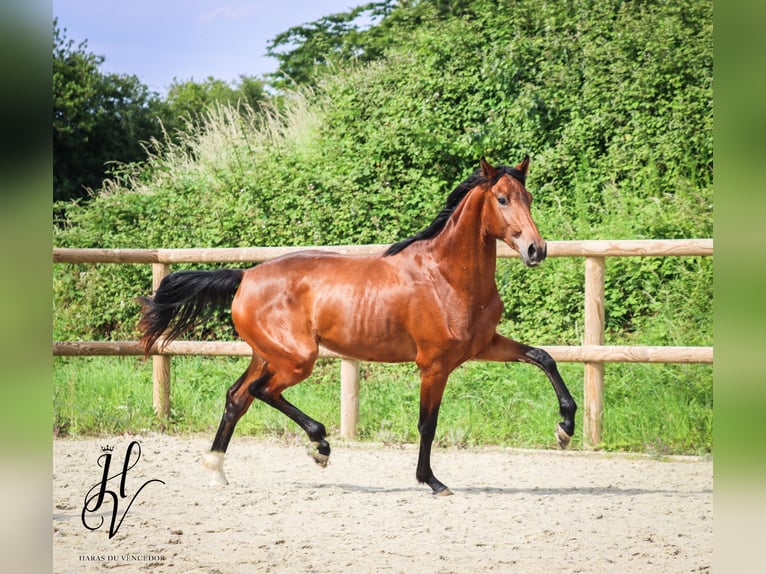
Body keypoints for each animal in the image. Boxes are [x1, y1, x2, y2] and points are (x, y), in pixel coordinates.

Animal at [141, 160, 580, 498]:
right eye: (502, 199)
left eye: (529, 198)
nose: (537, 250)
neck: (447, 276)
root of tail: (245, 276)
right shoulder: (434, 365)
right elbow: (427, 424)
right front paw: (432, 482)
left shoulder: (485, 344)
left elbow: (543, 357)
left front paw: (565, 427)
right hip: (297, 359)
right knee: (260, 392)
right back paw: (319, 445)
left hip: (268, 355)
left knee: (237, 397)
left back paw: (217, 468)